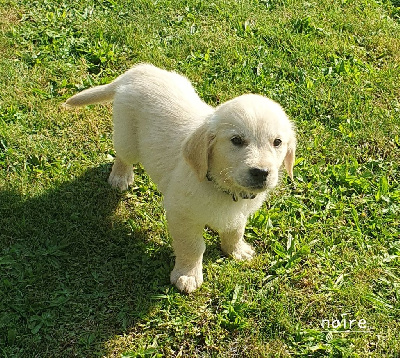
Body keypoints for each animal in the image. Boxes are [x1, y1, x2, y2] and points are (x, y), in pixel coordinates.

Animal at [63, 63, 294, 294]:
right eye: (236, 140)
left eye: (277, 142)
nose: (261, 172)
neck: (219, 184)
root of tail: (138, 71)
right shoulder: (182, 214)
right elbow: (192, 246)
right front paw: (188, 274)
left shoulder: (239, 214)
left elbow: (235, 231)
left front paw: (236, 250)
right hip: (127, 137)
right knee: (123, 156)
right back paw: (120, 176)